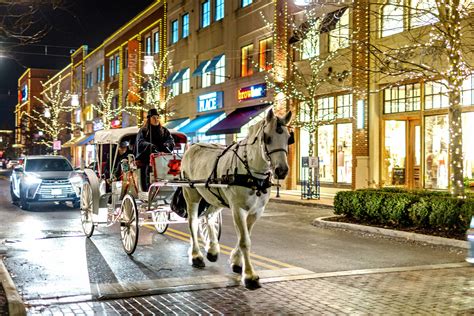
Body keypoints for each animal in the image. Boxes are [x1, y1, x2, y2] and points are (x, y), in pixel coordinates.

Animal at [181, 108, 292, 288]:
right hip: (191, 195)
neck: (253, 175)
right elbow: (244, 240)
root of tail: (193, 146)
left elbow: (245, 236)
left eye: (289, 138)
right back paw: (196, 255)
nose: (281, 170)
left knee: (208, 218)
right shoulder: (237, 208)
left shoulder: (256, 211)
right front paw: (250, 275)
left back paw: (212, 250)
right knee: (193, 222)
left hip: (215, 197)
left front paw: (237, 261)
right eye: (267, 138)